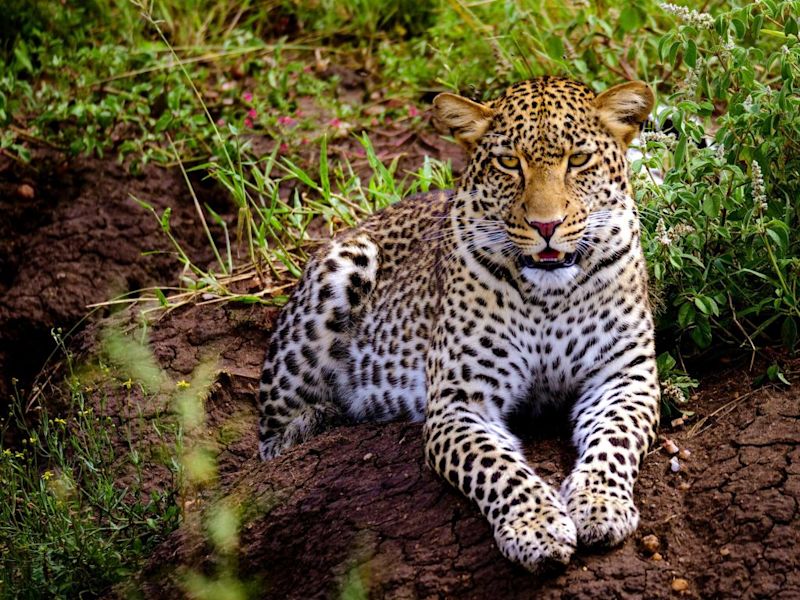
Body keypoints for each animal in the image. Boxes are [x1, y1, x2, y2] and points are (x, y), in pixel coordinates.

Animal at [260, 76, 660, 572]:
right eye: (509, 163)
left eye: (578, 160)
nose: (545, 225)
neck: (548, 295)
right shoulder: (459, 403)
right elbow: (498, 468)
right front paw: (537, 528)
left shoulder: (624, 378)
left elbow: (615, 442)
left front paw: (599, 505)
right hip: (341, 268)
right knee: (271, 442)